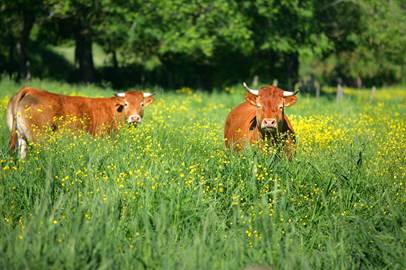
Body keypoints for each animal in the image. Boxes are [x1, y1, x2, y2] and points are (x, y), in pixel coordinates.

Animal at [7, 86, 154, 158]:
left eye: (141, 104)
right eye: (126, 104)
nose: (135, 118)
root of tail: (32, 90)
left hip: (21, 136)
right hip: (40, 137)